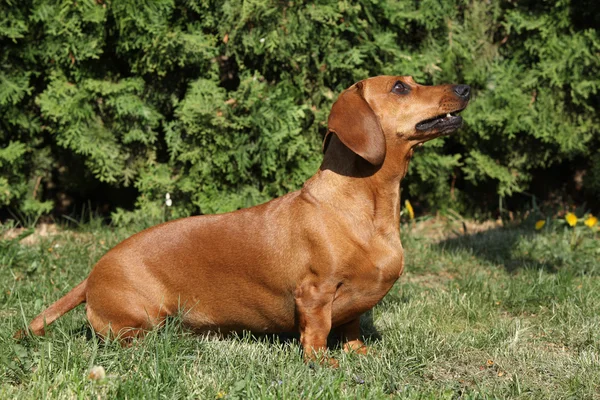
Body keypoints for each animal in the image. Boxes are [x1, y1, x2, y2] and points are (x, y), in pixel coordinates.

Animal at [22, 75, 468, 362]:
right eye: (400, 87)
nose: (465, 88)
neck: (360, 208)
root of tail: (91, 276)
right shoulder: (314, 294)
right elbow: (317, 335)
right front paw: (327, 363)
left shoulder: (353, 310)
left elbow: (352, 329)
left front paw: (361, 355)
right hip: (140, 321)